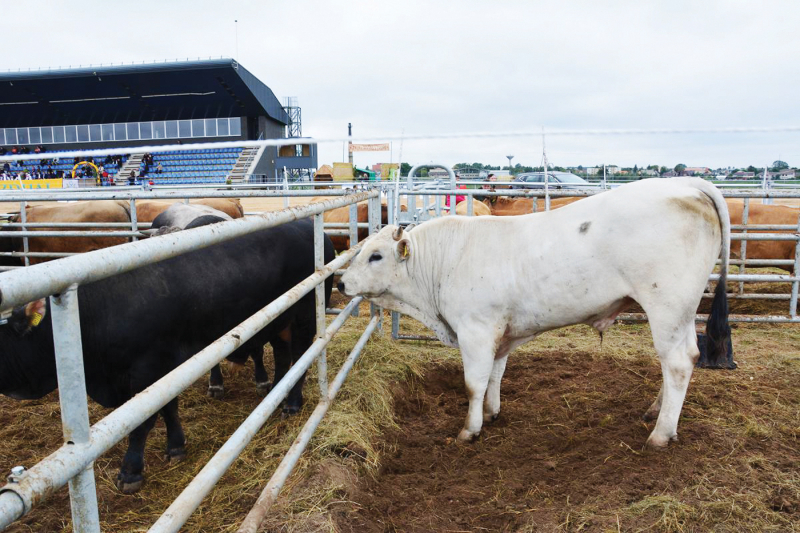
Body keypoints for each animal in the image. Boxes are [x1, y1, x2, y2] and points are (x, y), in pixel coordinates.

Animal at [0, 218, 332, 492]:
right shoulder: (164, 371)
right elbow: (168, 407)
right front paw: (176, 445)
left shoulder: (147, 369)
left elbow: (143, 423)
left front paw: (131, 471)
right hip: (279, 322)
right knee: (283, 357)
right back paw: (278, 390)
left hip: (304, 317)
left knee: (302, 356)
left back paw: (292, 402)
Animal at [340, 177, 732, 446]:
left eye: (376, 255)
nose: (341, 282)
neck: (446, 258)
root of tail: (685, 182)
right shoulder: (499, 332)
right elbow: (494, 376)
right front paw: (490, 413)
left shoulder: (476, 330)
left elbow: (473, 383)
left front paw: (469, 430)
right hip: (682, 311)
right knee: (686, 357)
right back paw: (655, 411)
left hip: (666, 305)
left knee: (676, 363)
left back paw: (661, 433)